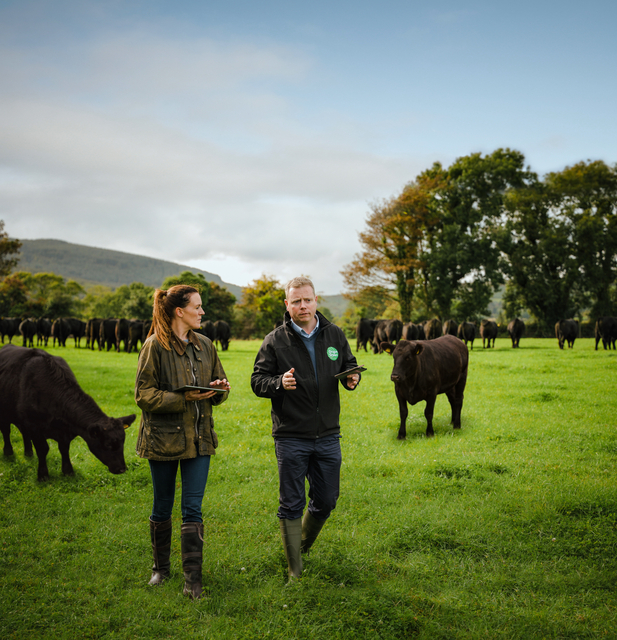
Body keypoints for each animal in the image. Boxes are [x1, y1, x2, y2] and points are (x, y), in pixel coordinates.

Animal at [0, 344, 136, 480]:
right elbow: (43, 449)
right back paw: (8, 452)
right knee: (6, 431)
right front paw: (43, 475)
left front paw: (68, 471)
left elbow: (64, 448)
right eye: (108, 444)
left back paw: (28, 452)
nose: (122, 469)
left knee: (23, 432)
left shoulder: (64, 432)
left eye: (123, 442)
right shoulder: (34, 427)